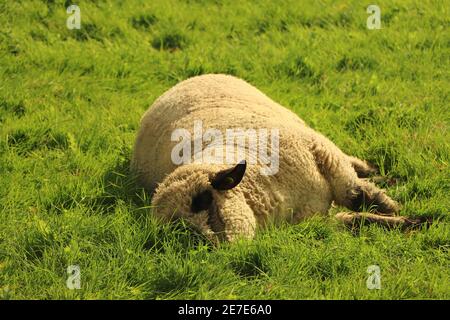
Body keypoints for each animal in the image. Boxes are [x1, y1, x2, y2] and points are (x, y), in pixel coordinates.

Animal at [132, 74, 424, 241]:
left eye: (202, 200)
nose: (204, 246)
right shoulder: (315, 221)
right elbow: (355, 220)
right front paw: (408, 223)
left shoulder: (324, 156)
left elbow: (358, 194)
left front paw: (397, 209)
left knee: (355, 166)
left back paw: (383, 175)